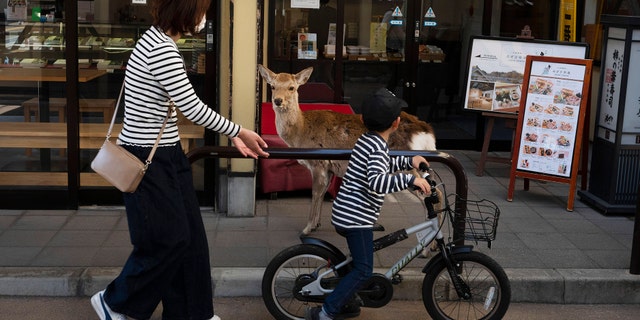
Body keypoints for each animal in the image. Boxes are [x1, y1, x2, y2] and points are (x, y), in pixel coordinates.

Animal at [258, 63, 438, 236]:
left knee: (429, 192)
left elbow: (315, 194)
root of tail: (426, 131)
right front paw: (316, 224)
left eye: (292, 87)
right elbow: (322, 193)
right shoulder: (329, 168)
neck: (301, 131)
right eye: (272, 86)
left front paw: (307, 229)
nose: (278, 101)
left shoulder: (318, 163)